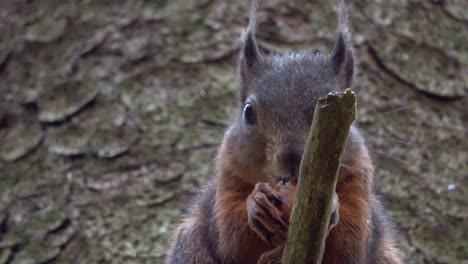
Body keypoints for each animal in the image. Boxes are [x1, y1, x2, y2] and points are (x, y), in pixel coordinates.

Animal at [165, 1, 402, 262]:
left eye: (352, 118)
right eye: (248, 111)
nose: (291, 158)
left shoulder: (359, 181)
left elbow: (352, 241)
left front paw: (332, 205)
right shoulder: (227, 178)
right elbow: (232, 237)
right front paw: (256, 204)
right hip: (189, 245)